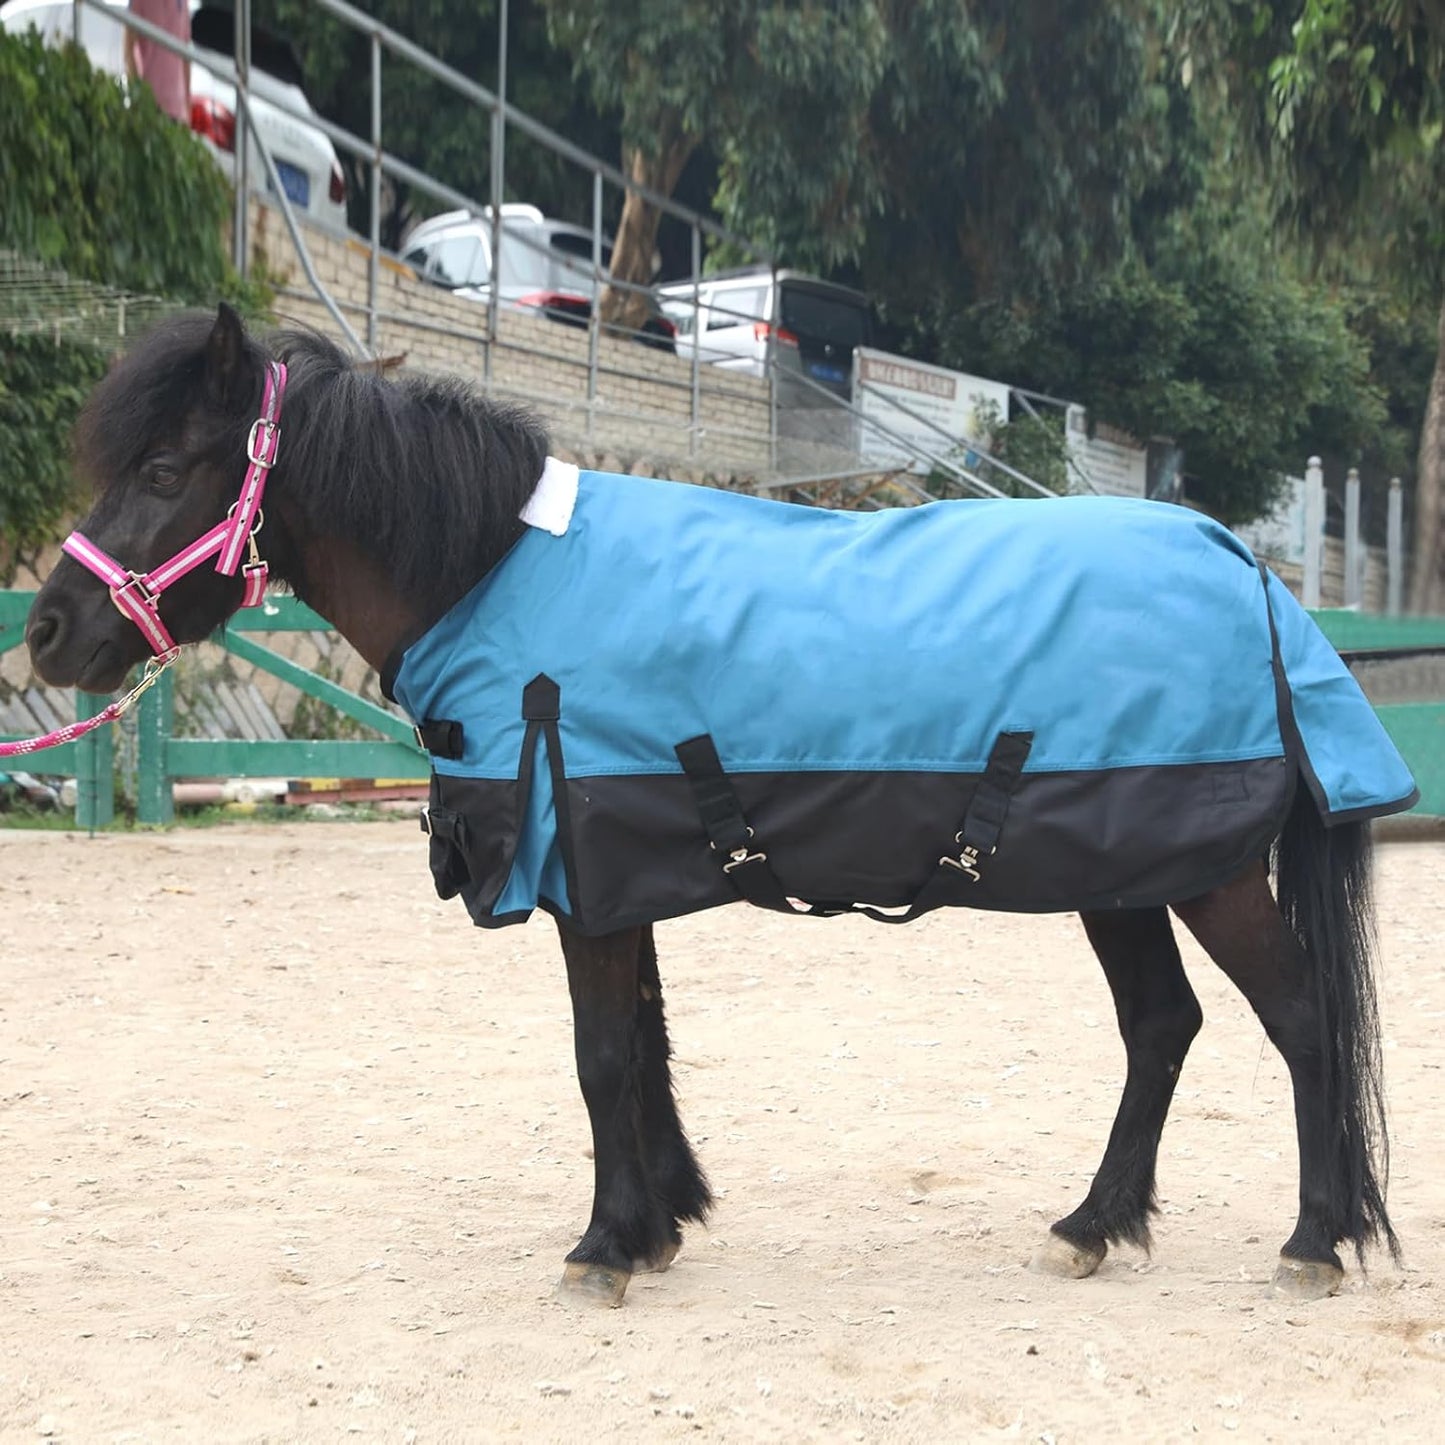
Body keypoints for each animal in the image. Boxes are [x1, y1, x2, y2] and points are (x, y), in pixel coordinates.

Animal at [26, 304, 1411, 1309]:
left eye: (164, 465)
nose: (47, 631)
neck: (494, 569)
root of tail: (1245, 568)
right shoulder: (610, 867)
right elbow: (640, 1048)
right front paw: (654, 1224)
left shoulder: (579, 871)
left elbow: (598, 1055)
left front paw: (601, 1246)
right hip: (1117, 868)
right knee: (1160, 1025)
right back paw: (1091, 1224)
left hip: (1200, 870)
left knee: (1298, 1019)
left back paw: (1312, 1239)